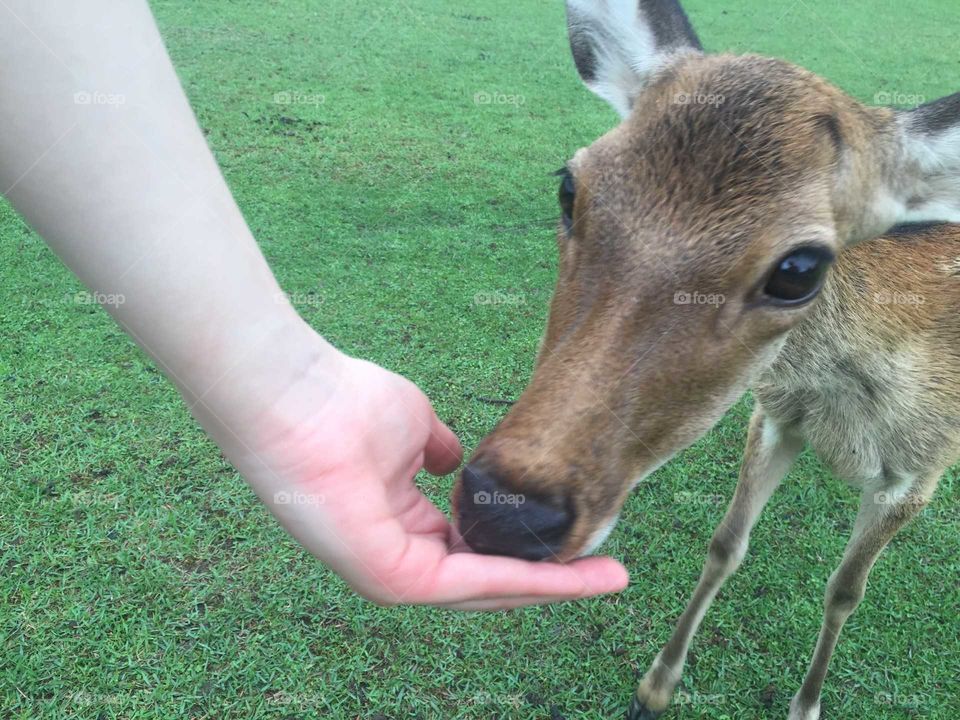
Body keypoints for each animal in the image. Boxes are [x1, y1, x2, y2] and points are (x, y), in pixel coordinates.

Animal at [450, 1, 960, 720]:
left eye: (800, 269)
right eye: (570, 186)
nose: (505, 511)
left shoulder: (918, 473)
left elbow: (844, 590)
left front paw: (805, 706)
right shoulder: (774, 414)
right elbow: (725, 544)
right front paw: (656, 686)